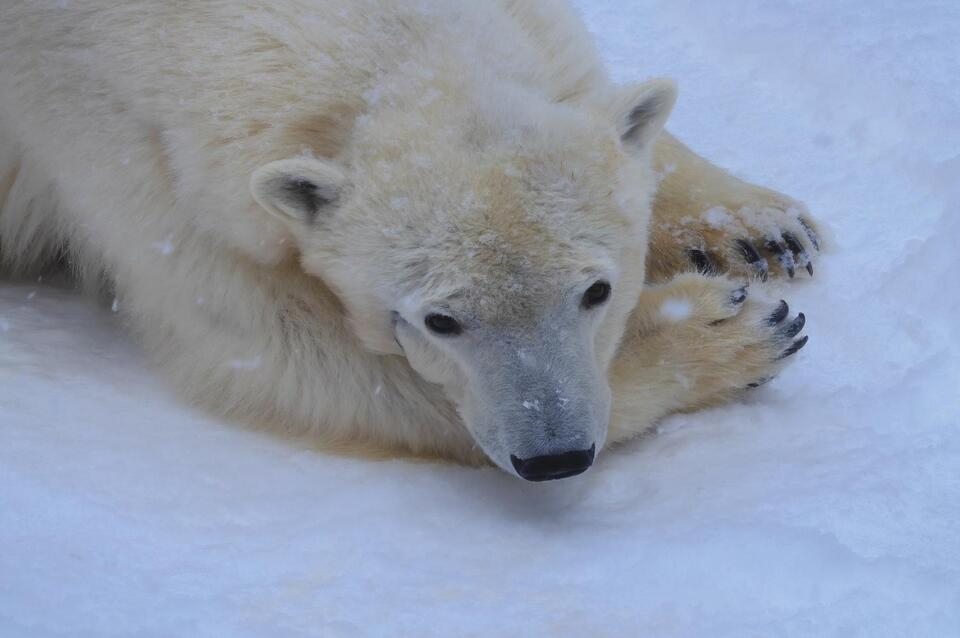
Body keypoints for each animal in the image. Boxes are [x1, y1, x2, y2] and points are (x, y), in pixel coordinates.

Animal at [0, 0, 817, 479]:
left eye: (596, 290)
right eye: (439, 320)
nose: (554, 456)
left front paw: (754, 229)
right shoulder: (121, 150)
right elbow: (289, 357)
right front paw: (726, 330)